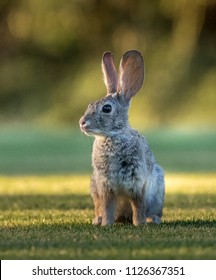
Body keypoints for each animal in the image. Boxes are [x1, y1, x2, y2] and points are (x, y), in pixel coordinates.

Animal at [79, 49, 165, 225]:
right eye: (90, 105)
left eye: (106, 109)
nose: (82, 123)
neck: (112, 136)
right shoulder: (105, 186)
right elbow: (107, 207)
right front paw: (106, 224)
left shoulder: (136, 182)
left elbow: (138, 205)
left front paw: (139, 224)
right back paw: (98, 220)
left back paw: (153, 219)